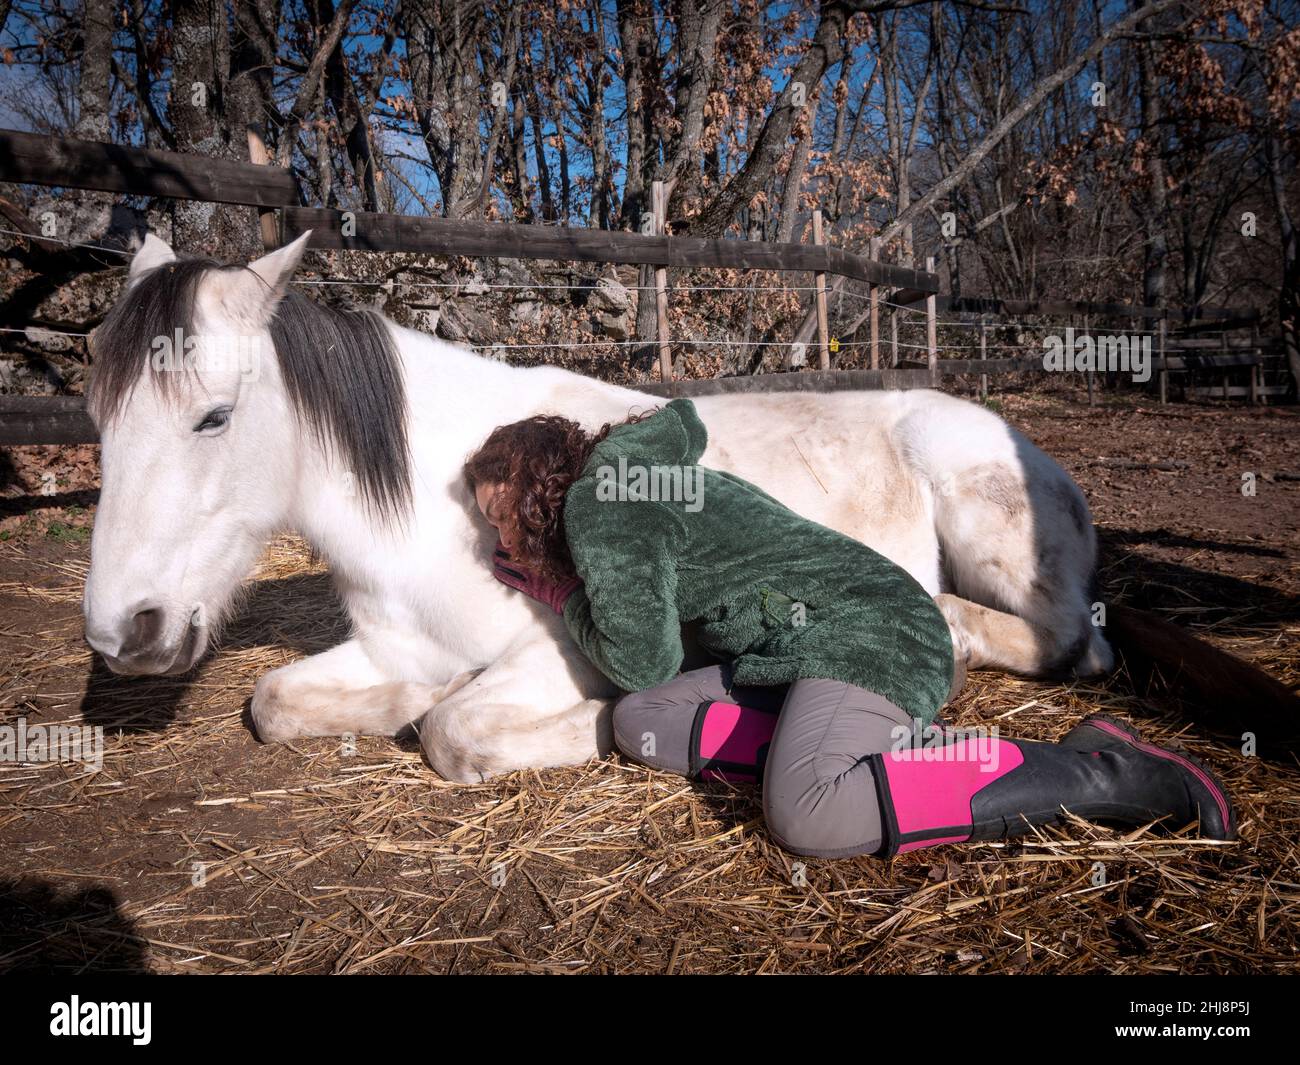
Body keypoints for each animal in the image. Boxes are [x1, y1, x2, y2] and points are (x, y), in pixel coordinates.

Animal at [81, 232, 1112, 785]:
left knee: (1069, 635)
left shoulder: (560, 648)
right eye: (99, 418)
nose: (122, 633)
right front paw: (400, 703)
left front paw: (596, 723)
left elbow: (456, 728)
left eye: (214, 416)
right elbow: (274, 701)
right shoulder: (389, 647)